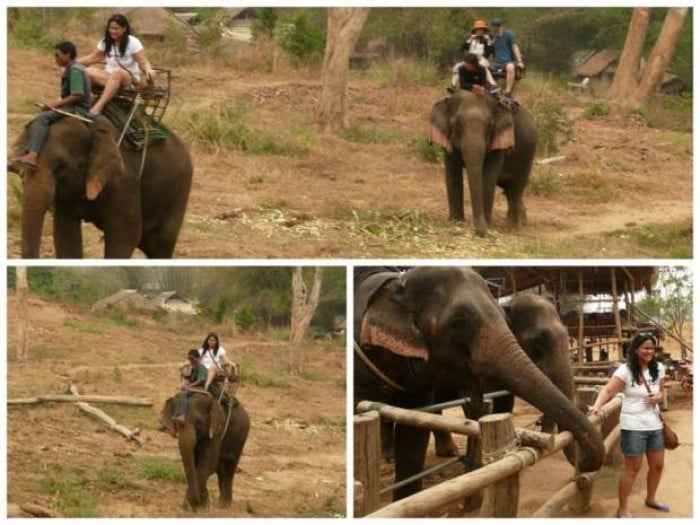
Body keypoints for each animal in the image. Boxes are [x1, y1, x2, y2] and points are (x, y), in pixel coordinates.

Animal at [13, 115, 193, 258]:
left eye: (61, 168)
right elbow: (65, 232)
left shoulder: (124, 182)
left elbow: (125, 234)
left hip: (180, 188)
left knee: (161, 242)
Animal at [426, 91, 536, 235]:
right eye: (457, 124)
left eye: (490, 125)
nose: (480, 231)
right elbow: (453, 175)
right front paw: (456, 222)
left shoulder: (498, 142)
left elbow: (488, 177)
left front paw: (487, 225)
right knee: (509, 189)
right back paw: (519, 222)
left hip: (528, 156)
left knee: (516, 189)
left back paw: (513, 227)